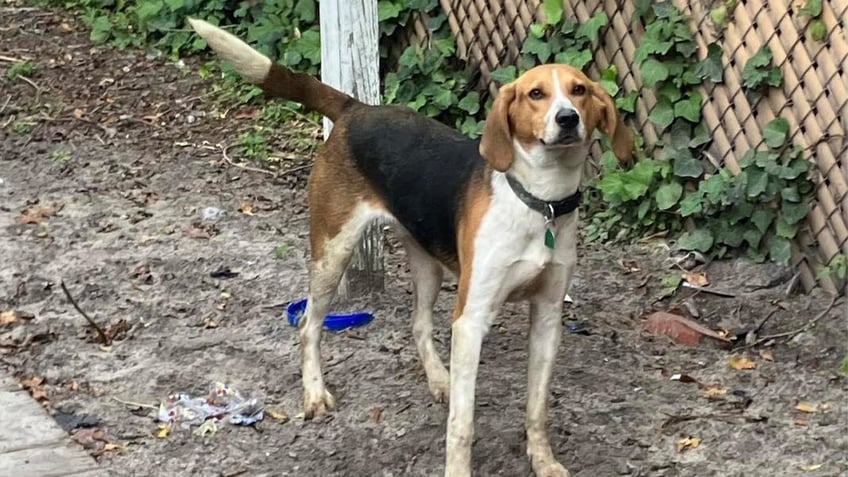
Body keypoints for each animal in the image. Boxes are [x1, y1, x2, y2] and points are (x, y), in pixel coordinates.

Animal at [189, 18, 632, 476]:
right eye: (536, 94)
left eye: (579, 90)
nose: (567, 118)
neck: (540, 201)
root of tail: (356, 108)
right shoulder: (472, 320)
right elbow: (462, 422)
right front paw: (458, 470)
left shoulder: (547, 317)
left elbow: (537, 409)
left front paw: (544, 462)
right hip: (333, 251)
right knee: (309, 324)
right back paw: (314, 393)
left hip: (427, 263)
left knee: (418, 325)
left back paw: (440, 379)